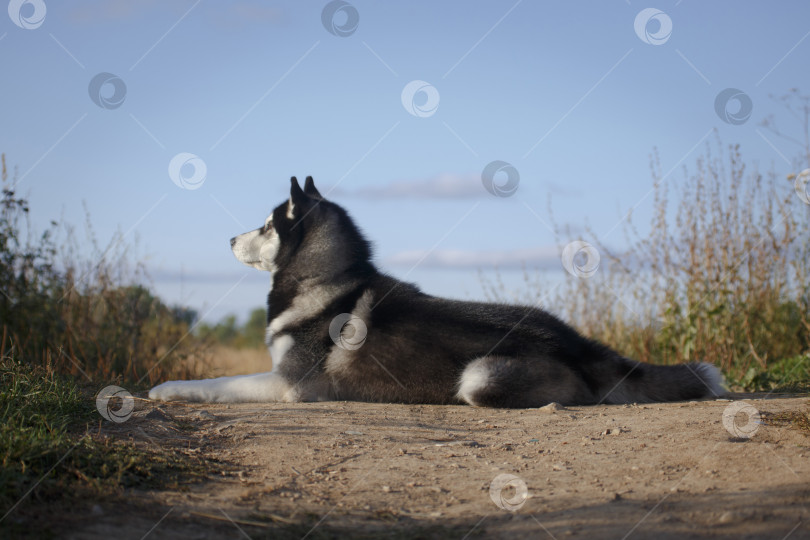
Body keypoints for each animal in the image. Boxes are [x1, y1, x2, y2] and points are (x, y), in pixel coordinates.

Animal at [148, 175, 724, 408]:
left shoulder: (289, 385)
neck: (324, 282)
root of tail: (577, 343)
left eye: (266, 225)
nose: (228, 238)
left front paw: (164, 388)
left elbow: (217, 382)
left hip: (478, 377)